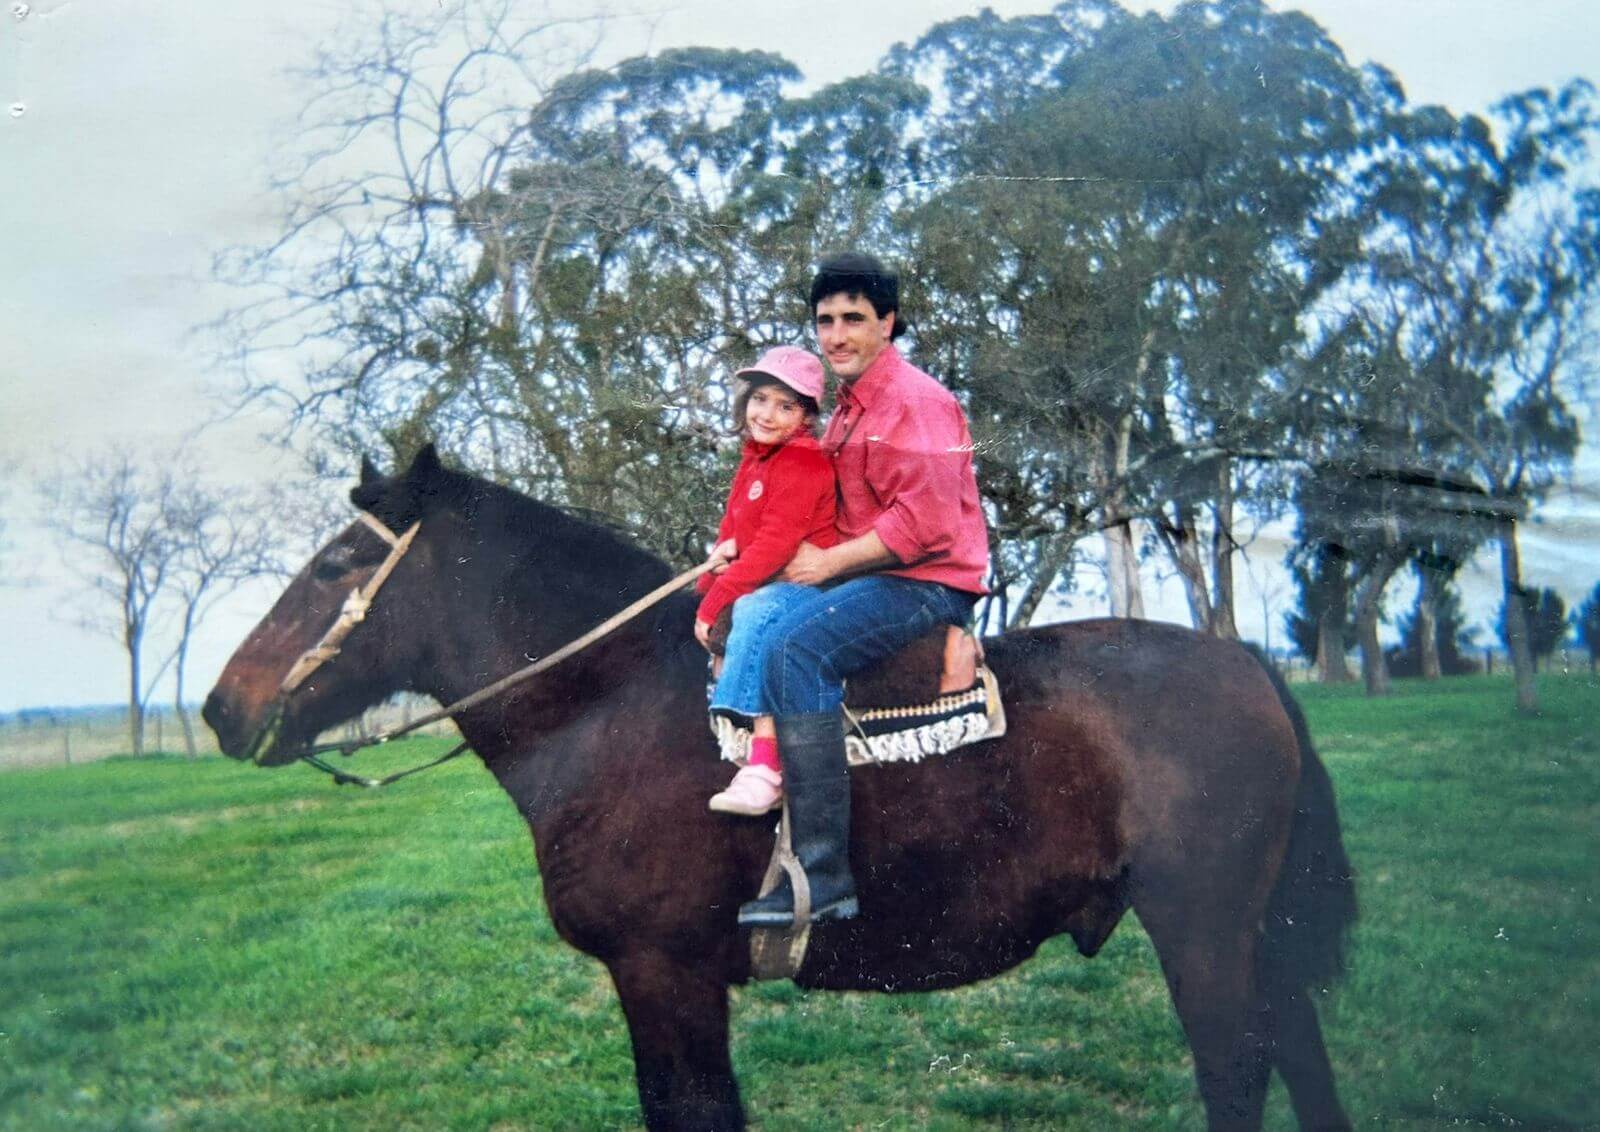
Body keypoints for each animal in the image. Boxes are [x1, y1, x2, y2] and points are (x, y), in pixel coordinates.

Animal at [200, 447, 1350, 1125]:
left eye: (337, 564)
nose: (220, 707)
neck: (611, 702)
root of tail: (1245, 662)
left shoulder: (664, 975)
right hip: (1249, 935)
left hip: (1201, 930)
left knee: (1239, 1067)